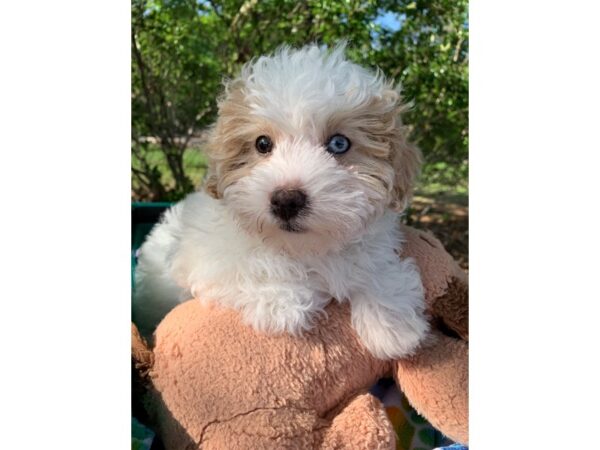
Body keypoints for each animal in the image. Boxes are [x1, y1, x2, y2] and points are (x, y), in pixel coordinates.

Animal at [134, 43, 428, 358]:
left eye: (339, 144)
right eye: (262, 144)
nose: (286, 201)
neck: (304, 248)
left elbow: (371, 265)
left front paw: (391, 323)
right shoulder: (208, 256)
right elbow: (250, 265)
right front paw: (281, 302)